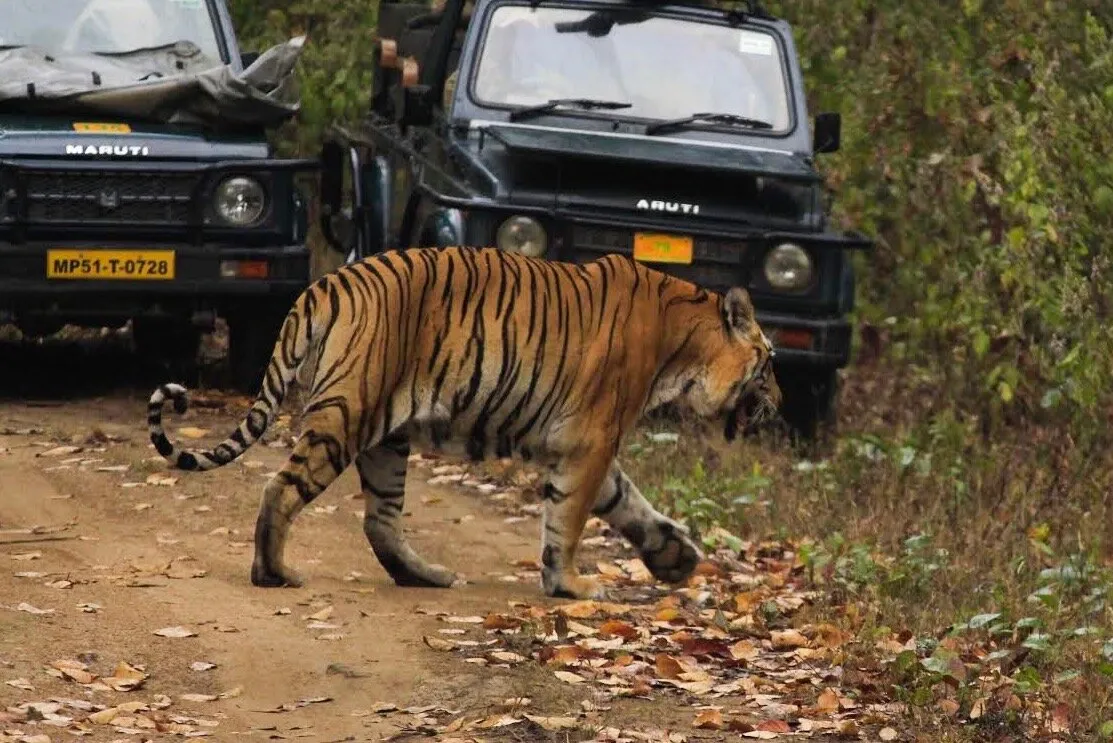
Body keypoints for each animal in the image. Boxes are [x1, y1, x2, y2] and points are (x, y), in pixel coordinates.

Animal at [146, 246, 781, 600]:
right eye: (770, 362)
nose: (780, 400)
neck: (685, 344)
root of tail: (326, 283)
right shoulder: (590, 440)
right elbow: (570, 518)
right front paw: (570, 585)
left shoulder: (584, 447)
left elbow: (624, 501)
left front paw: (676, 557)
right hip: (346, 414)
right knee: (281, 488)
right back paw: (273, 573)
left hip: (386, 437)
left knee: (380, 521)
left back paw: (426, 576)